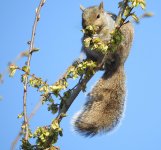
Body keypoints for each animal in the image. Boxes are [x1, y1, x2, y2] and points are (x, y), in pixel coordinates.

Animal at [72, 2, 134, 137]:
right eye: (82, 18)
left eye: (98, 16)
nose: (87, 28)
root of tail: (118, 65)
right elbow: (86, 38)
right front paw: (88, 37)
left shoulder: (110, 31)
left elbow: (105, 38)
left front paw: (96, 37)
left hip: (122, 42)